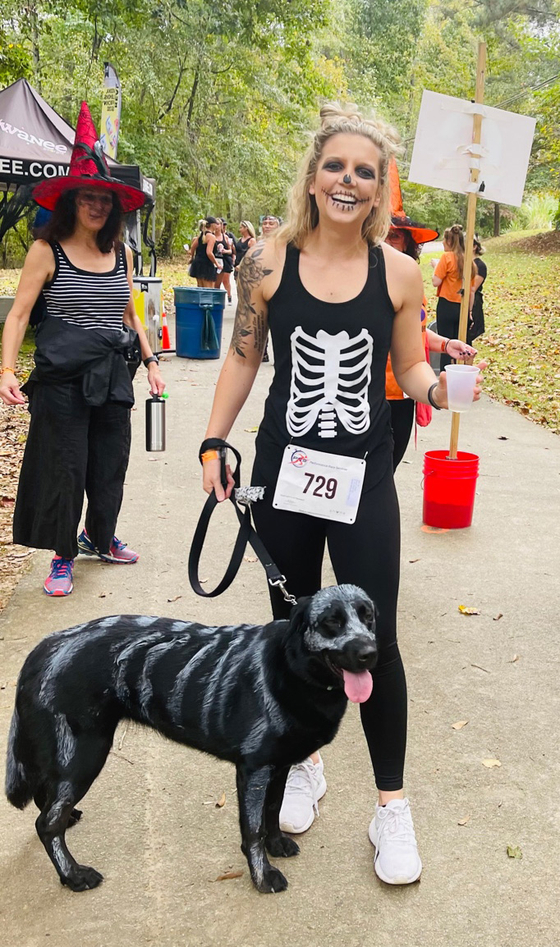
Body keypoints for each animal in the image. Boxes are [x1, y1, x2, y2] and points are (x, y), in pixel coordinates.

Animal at [4, 584, 376, 896]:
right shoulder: (254, 769)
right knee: (46, 823)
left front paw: (276, 844)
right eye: (331, 622)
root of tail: (46, 646)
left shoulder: (279, 765)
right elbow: (252, 829)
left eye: (368, 615)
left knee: (48, 801)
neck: (291, 668)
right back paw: (73, 875)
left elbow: (273, 810)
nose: (369, 653)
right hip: (85, 755)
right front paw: (263, 875)